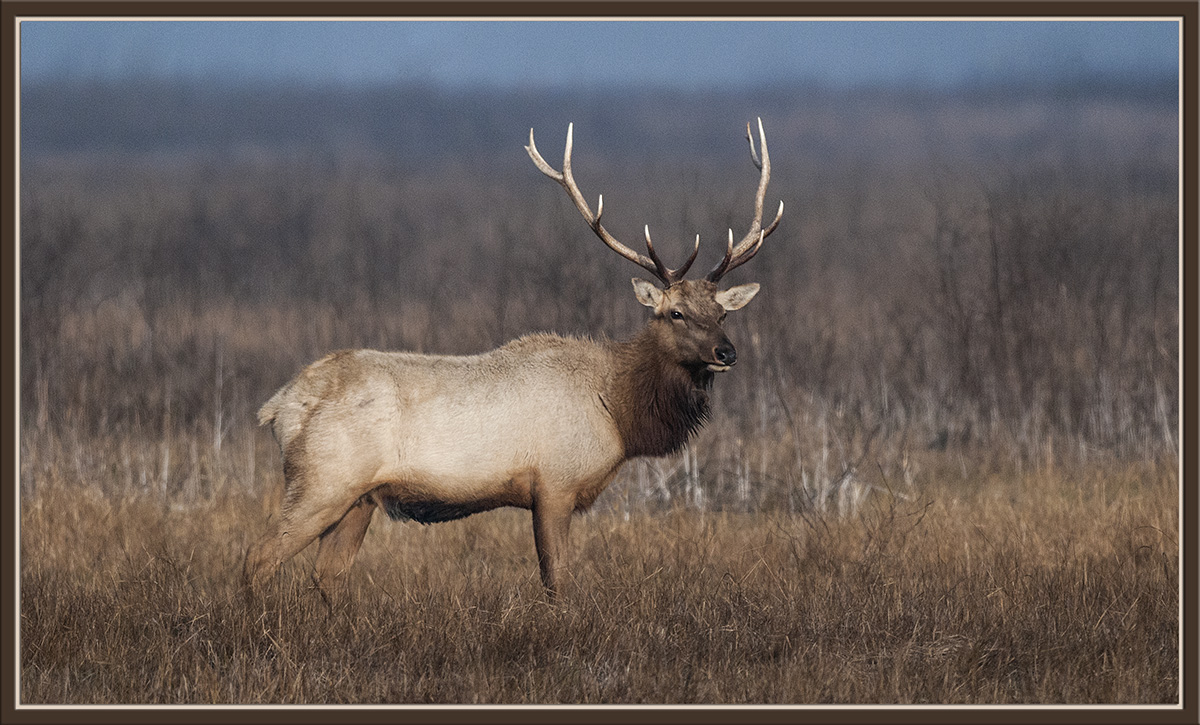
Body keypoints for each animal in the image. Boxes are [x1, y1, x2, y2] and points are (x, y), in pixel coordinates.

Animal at [243, 119, 783, 601]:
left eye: (722, 313)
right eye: (675, 312)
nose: (726, 353)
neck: (618, 412)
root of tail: (281, 406)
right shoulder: (555, 484)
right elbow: (556, 579)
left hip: (359, 498)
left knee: (328, 574)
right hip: (323, 480)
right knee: (258, 557)